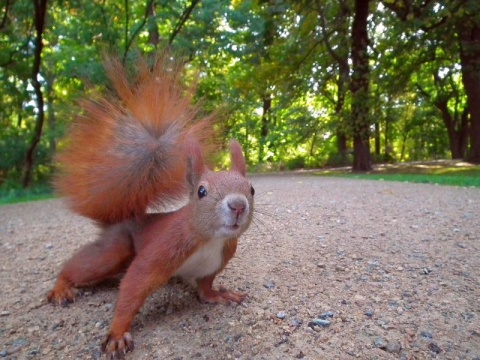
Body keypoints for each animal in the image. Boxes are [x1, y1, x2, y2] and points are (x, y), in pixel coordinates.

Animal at [47, 54, 255, 358]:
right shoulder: (162, 249)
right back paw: (62, 287)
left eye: (251, 189)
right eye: (201, 191)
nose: (238, 206)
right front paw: (117, 333)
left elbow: (205, 287)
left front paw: (219, 295)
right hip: (115, 249)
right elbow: (134, 285)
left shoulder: (216, 262)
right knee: (81, 266)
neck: (209, 240)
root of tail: (125, 219)